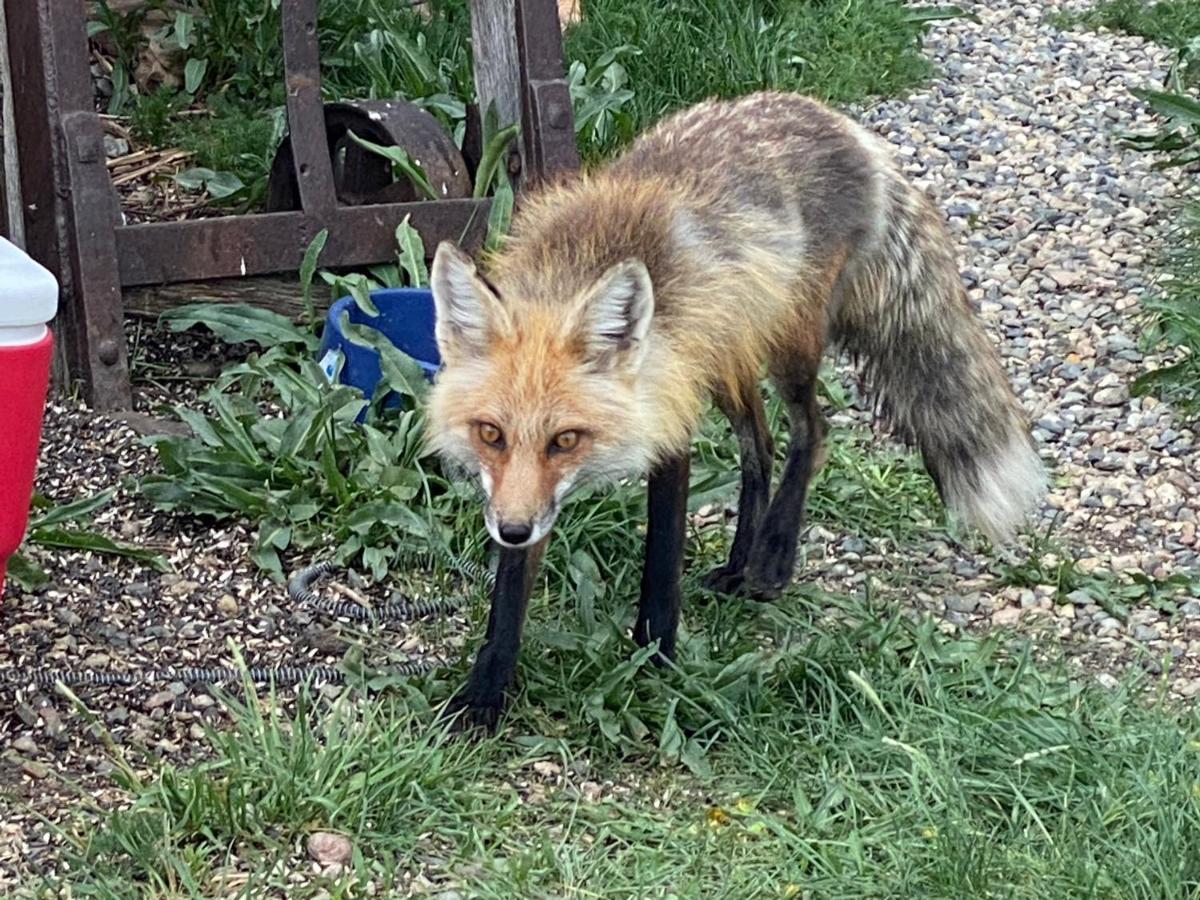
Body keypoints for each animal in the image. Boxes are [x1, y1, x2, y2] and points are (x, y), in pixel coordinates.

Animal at [427, 90, 1046, 734]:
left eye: (566, 439)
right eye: (490, 433)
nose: (512, 530)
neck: (577, 267)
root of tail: (839, 123)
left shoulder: (667, 424)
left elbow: (661, 568)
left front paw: (656, 663)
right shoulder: (521, 493)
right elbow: (509, 595)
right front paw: (485, 695)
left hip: (789, 342)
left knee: (812, 431)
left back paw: (772, 559)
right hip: (729, 356)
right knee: (761, 446)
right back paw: (741, 559)